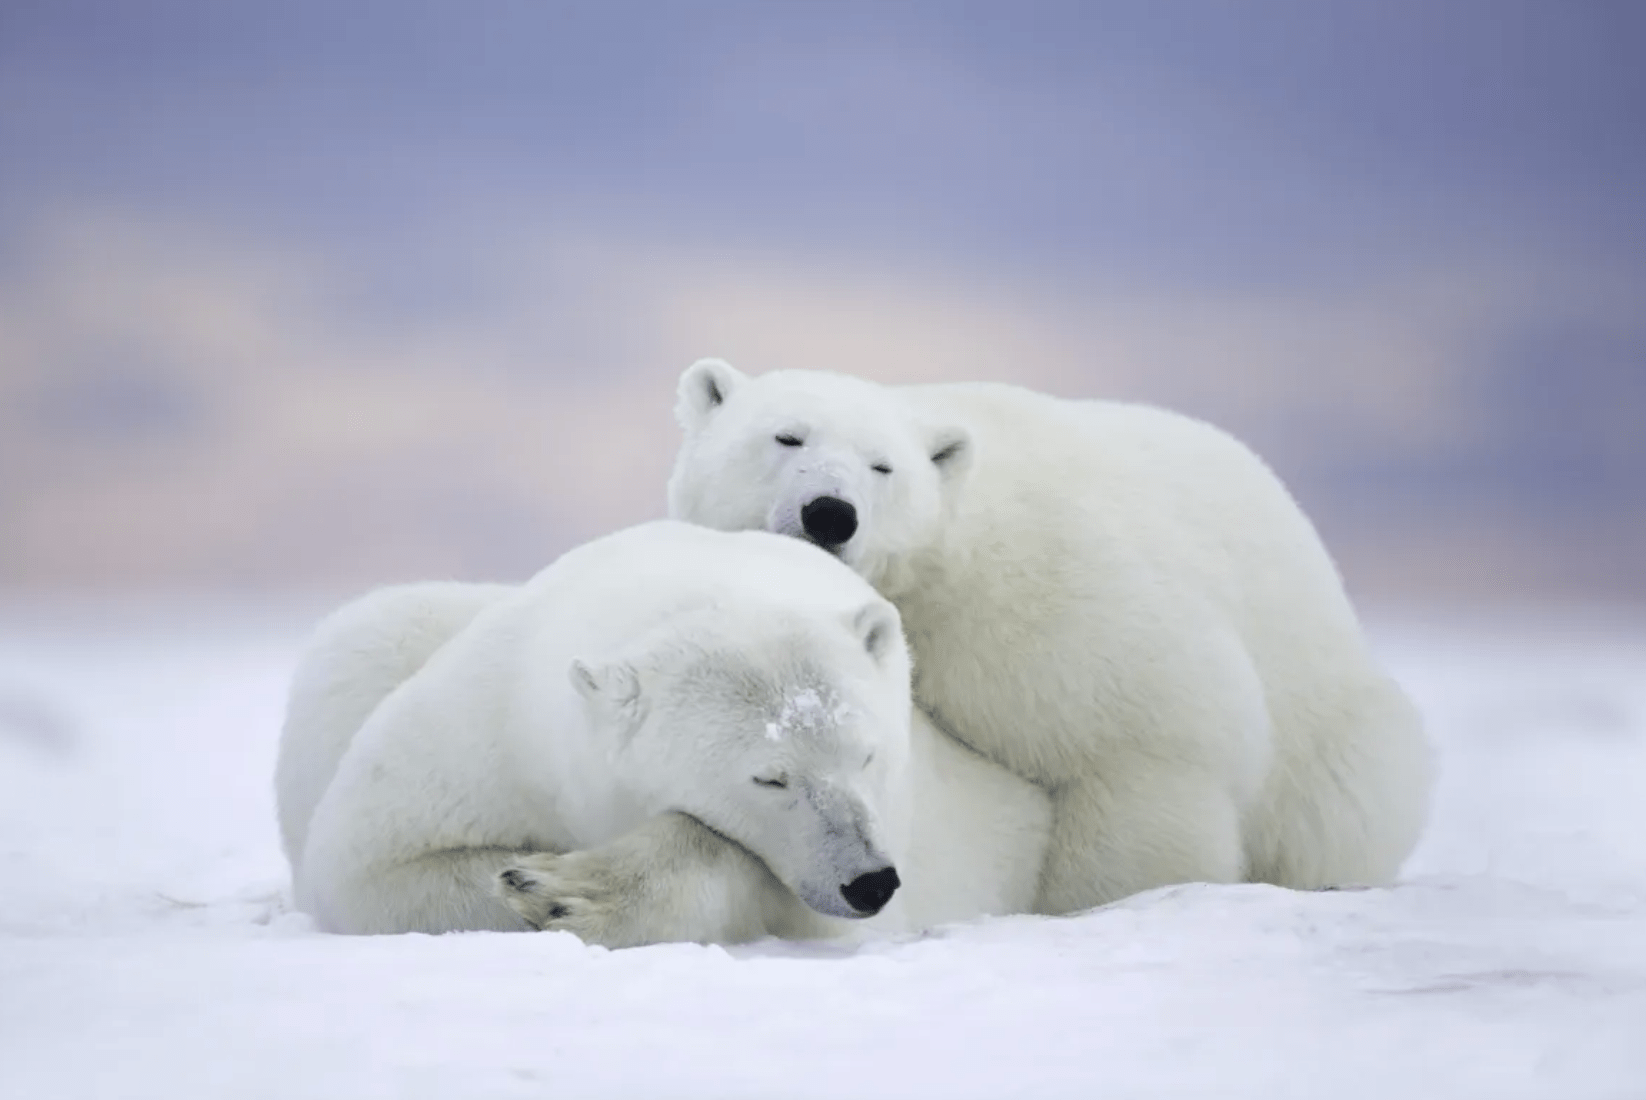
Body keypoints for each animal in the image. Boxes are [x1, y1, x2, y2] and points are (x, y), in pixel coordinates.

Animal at [664, 358, 1428, 908]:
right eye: (786, 436)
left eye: (883, 466)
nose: (830, 512)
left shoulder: (1047, 606)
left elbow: (1143, 746)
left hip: (1327, 724)